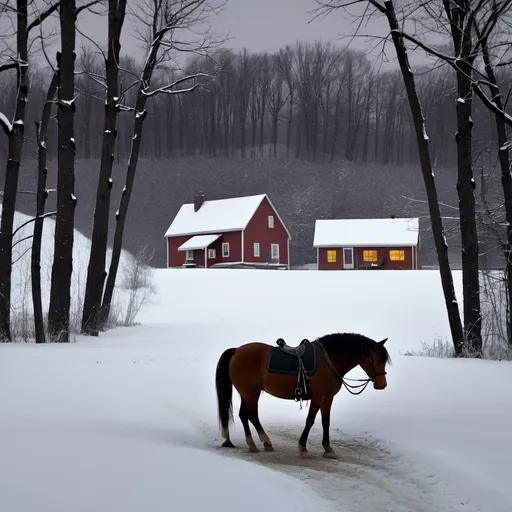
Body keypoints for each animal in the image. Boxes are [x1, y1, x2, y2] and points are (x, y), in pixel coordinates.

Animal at [214, 334, 390, 458]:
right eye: (378, 360)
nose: (382, 385)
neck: (329, 360)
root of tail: (236, 351)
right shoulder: (318, 397)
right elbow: (310, 420)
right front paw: (303, 447)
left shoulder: (328, 397)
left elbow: (326, 421)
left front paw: (328, 449)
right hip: (251, 393)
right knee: (251, 415)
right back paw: (262, 442)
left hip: (247, 393)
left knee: (244, 415)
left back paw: (255, 443)